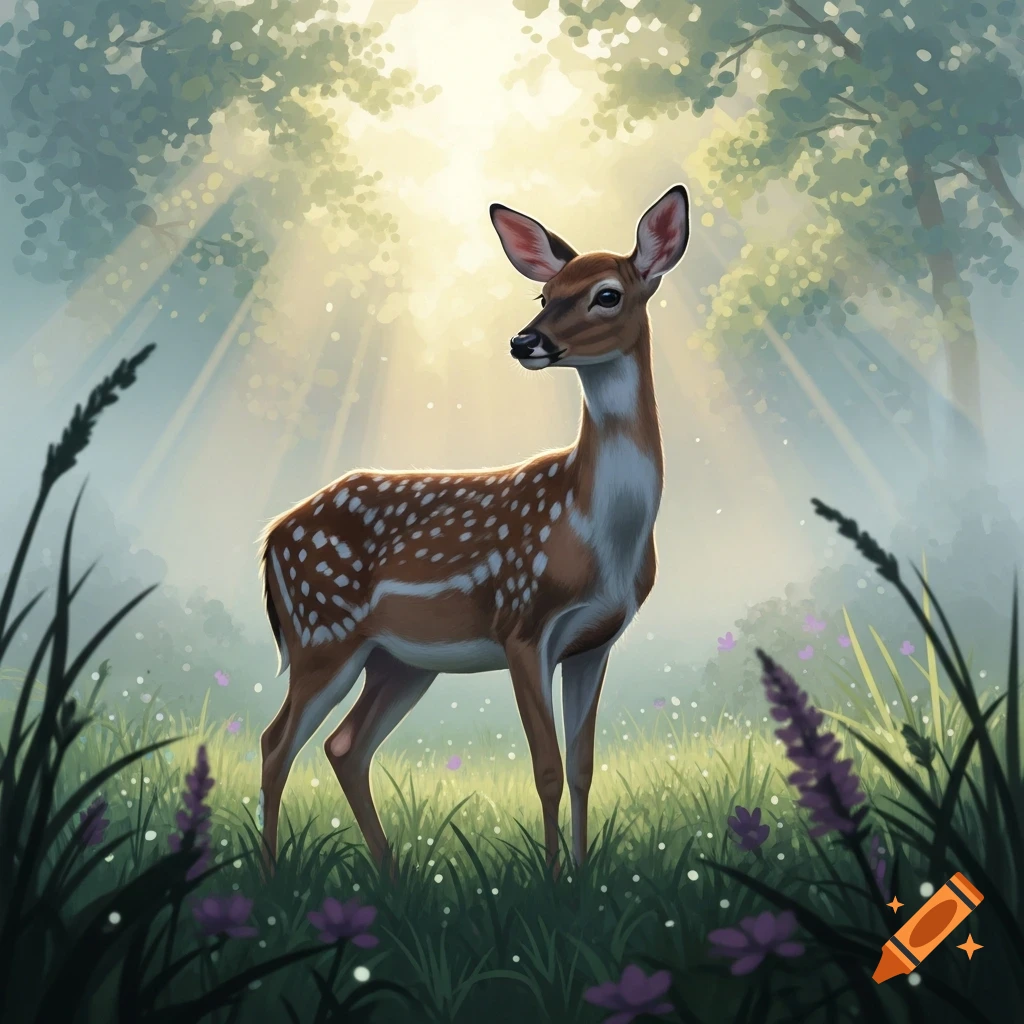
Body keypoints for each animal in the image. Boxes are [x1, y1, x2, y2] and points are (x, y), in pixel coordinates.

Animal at [256, 184, 691, 875]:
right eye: (544, 294)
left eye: (607, 294)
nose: (524, 341)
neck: (596, 531)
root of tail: (271, 537)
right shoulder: (522, 623)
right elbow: (546, 768)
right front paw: (551, 881)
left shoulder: (595, 641)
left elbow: (583, 768)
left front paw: (583, 874)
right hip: (321, 633)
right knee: (276, 744)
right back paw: (273, 879)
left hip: (398, 660)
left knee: (344, 746)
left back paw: (391, 875)